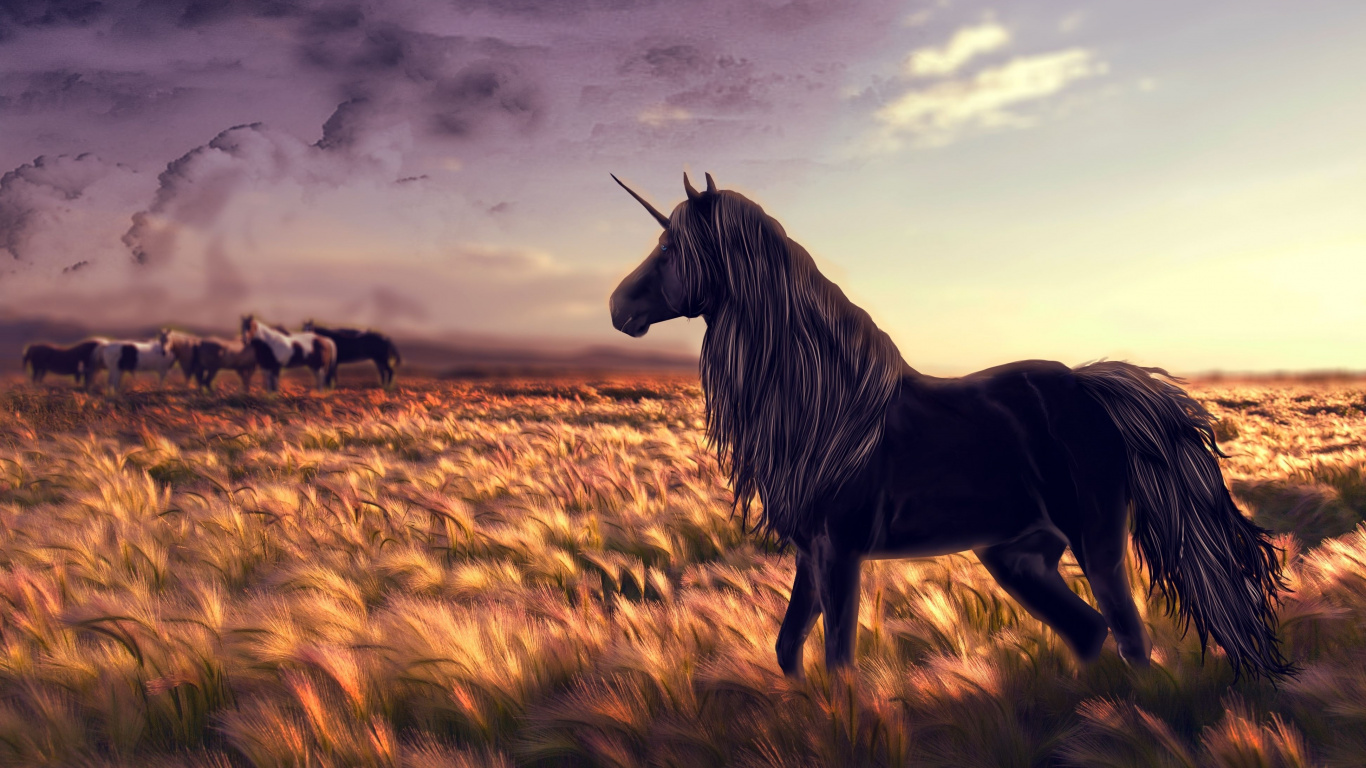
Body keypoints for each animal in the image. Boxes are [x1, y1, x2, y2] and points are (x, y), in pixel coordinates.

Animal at [608, 173, 1292, 681]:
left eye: (671, 250)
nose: (618, 306)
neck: (828, 410)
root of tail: (1088, 388)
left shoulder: (841, 551)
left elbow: (837, 659)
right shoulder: (811, 550)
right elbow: (788, 650)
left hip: (1094, 542)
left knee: (1127, 636)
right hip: (1016, 555)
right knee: (1090, 632)